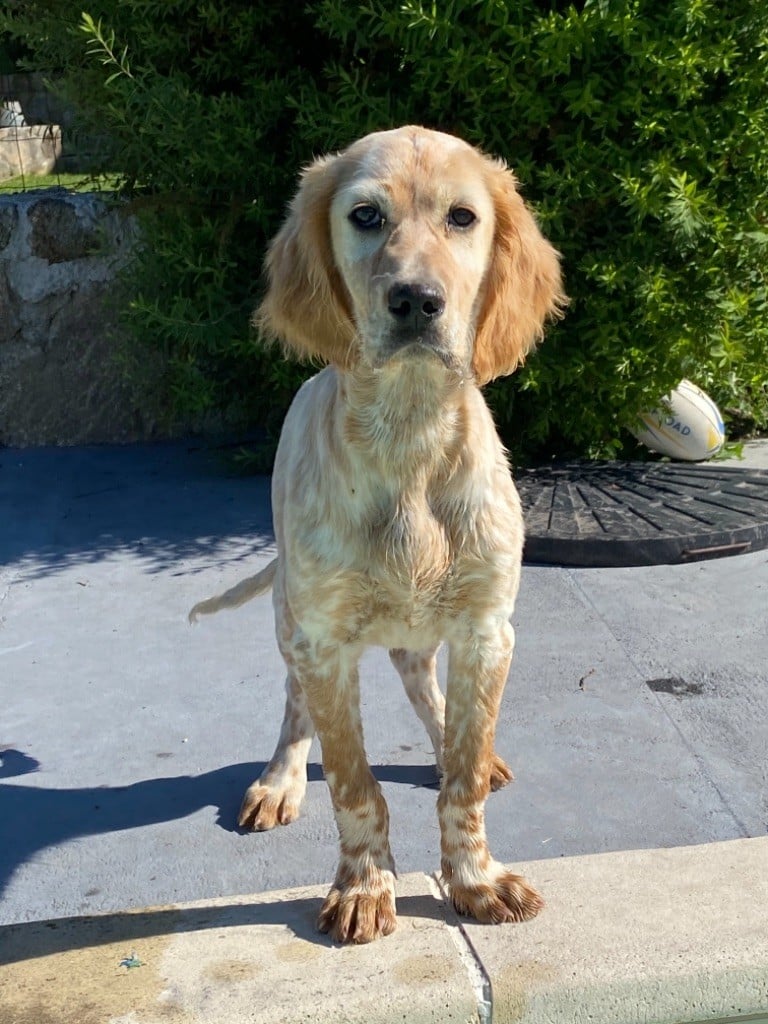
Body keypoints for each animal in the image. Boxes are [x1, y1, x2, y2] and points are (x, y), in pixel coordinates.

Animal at [191, 125, 565, 942]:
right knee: (296, 705)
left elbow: (463, 777)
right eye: (365, 216)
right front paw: (366, 887)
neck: (410, 438)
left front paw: (473, 878)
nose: (417, 301)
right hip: (291, 620)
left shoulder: (489, 629)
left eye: (462, 218)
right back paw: (280, 778)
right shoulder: (325, 643)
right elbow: (355, 784)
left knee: (424, 683)